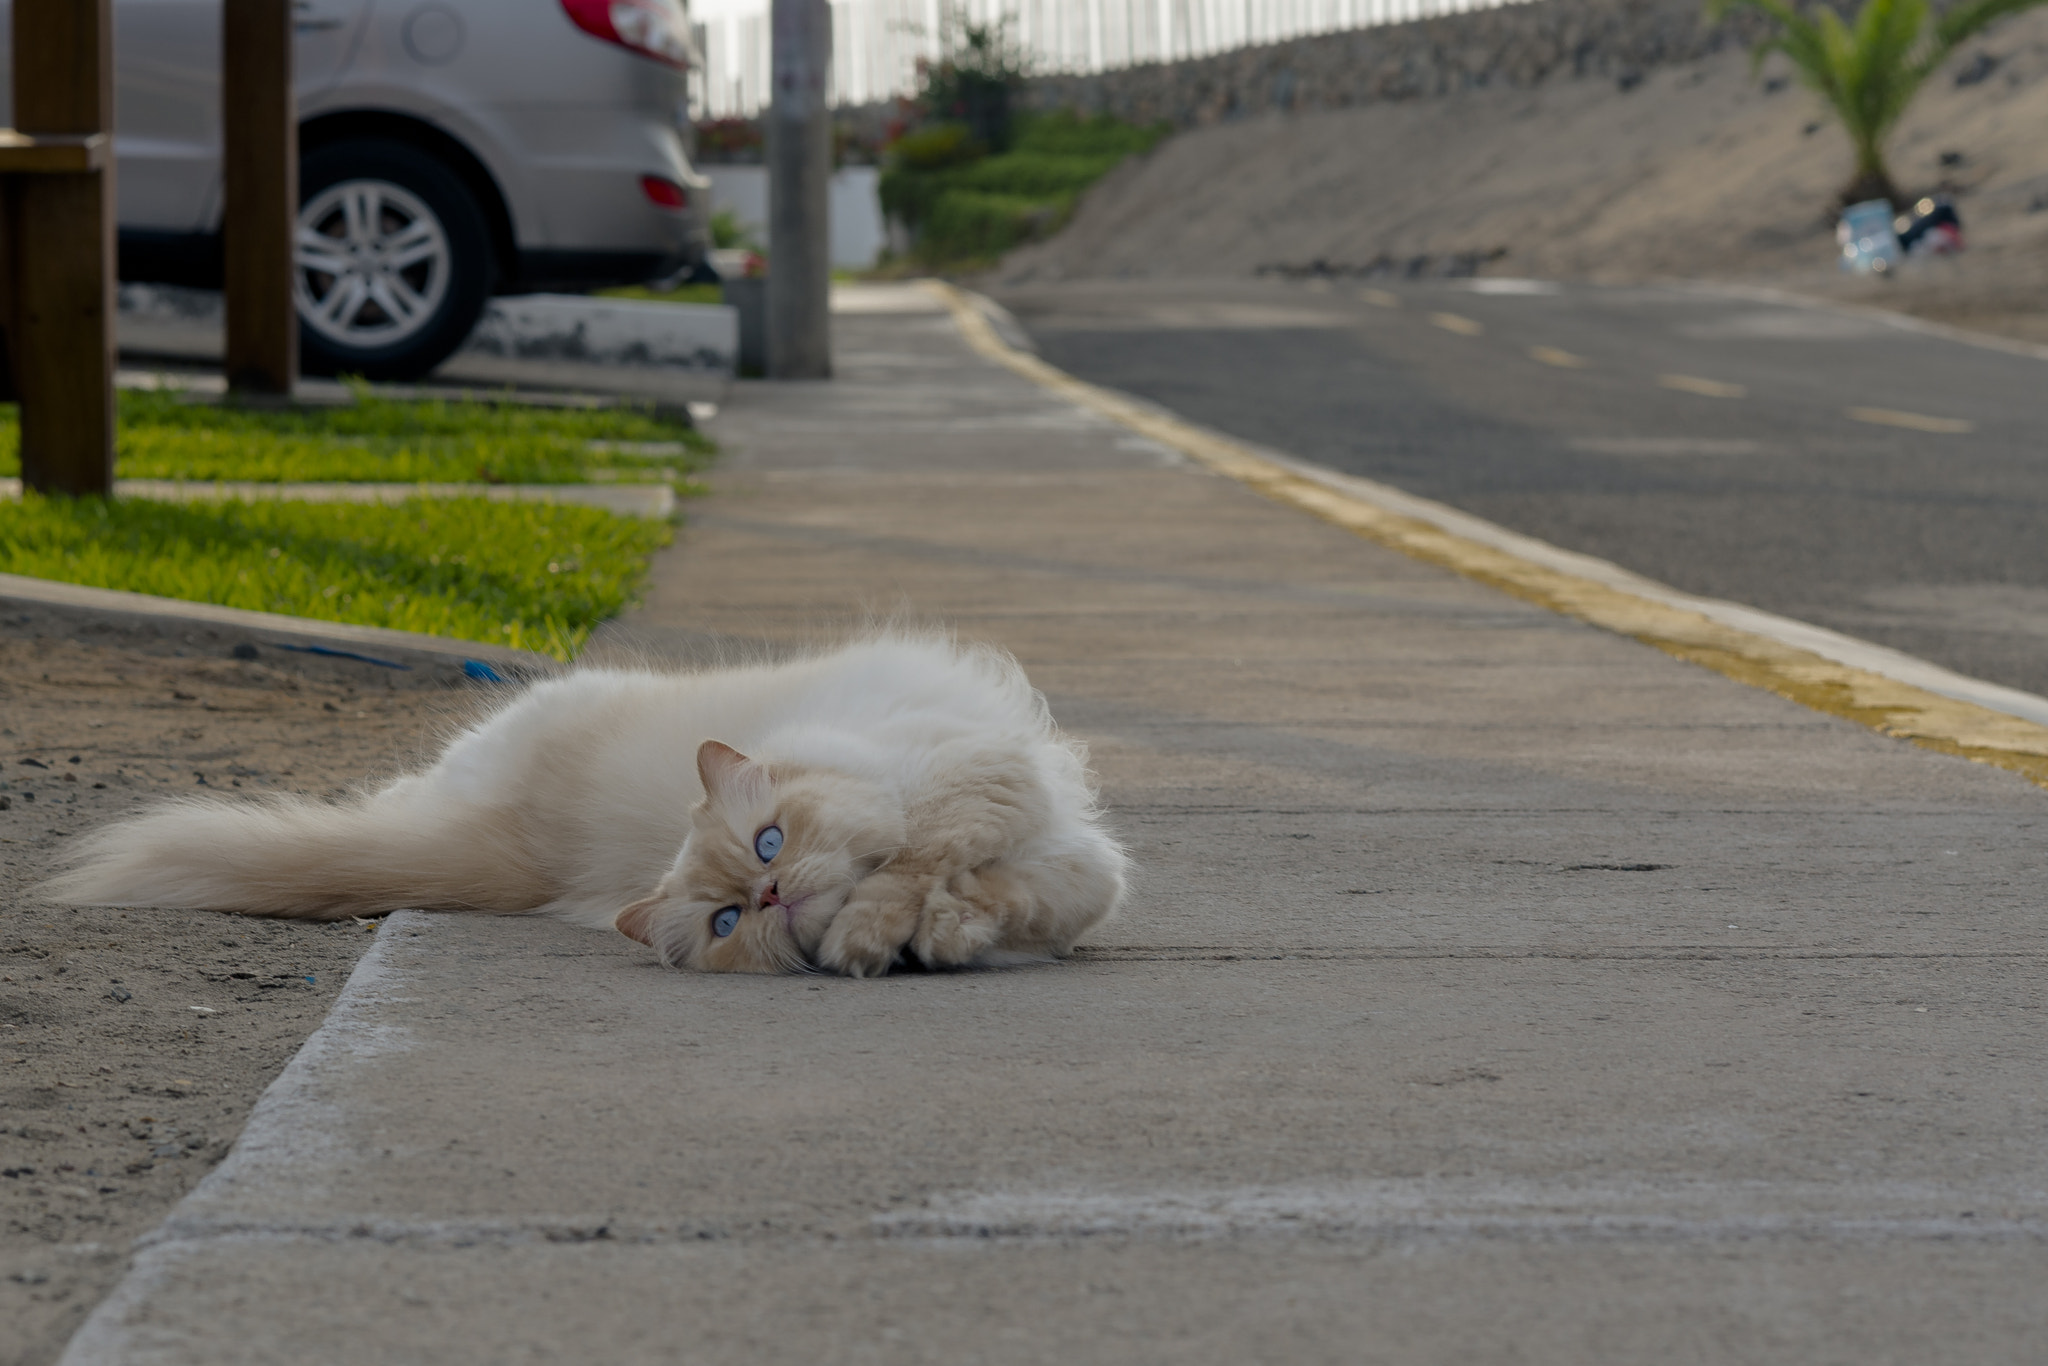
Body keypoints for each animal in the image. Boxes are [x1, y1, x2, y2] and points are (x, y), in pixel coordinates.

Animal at [48, 634, 1130, 978]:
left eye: (769, 840)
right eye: (728, 919)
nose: (774, 894)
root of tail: (523, 849)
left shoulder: (1008, 805)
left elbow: (962, 877)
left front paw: (931, 927)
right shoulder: (988, 793)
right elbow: (921, 870)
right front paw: (880, 935)